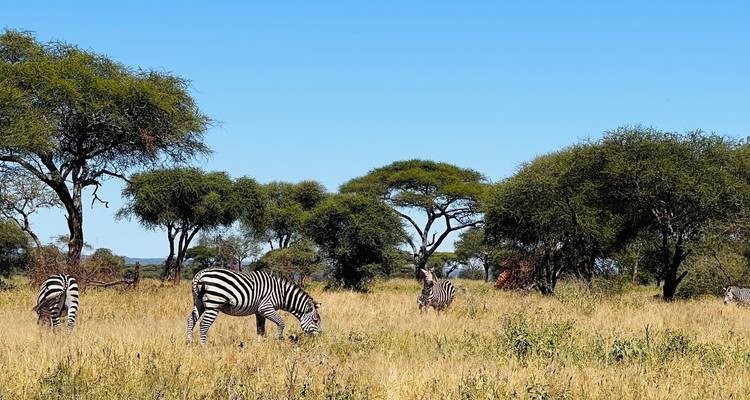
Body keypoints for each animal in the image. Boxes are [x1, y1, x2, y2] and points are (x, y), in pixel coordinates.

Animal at [186, 268, 322, 344]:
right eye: (315, 321)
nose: (321, 337)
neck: (282, 294)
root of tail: (200, 274)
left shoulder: (259, 312)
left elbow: (260, 330)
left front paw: (259, 345)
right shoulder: (266, 308)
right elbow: (281, 323)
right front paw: (277, 339)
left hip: (199, 302)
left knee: (191, 320)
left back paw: (189, 343)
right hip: (214, 304)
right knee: (204, 324)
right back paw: (204, 347)